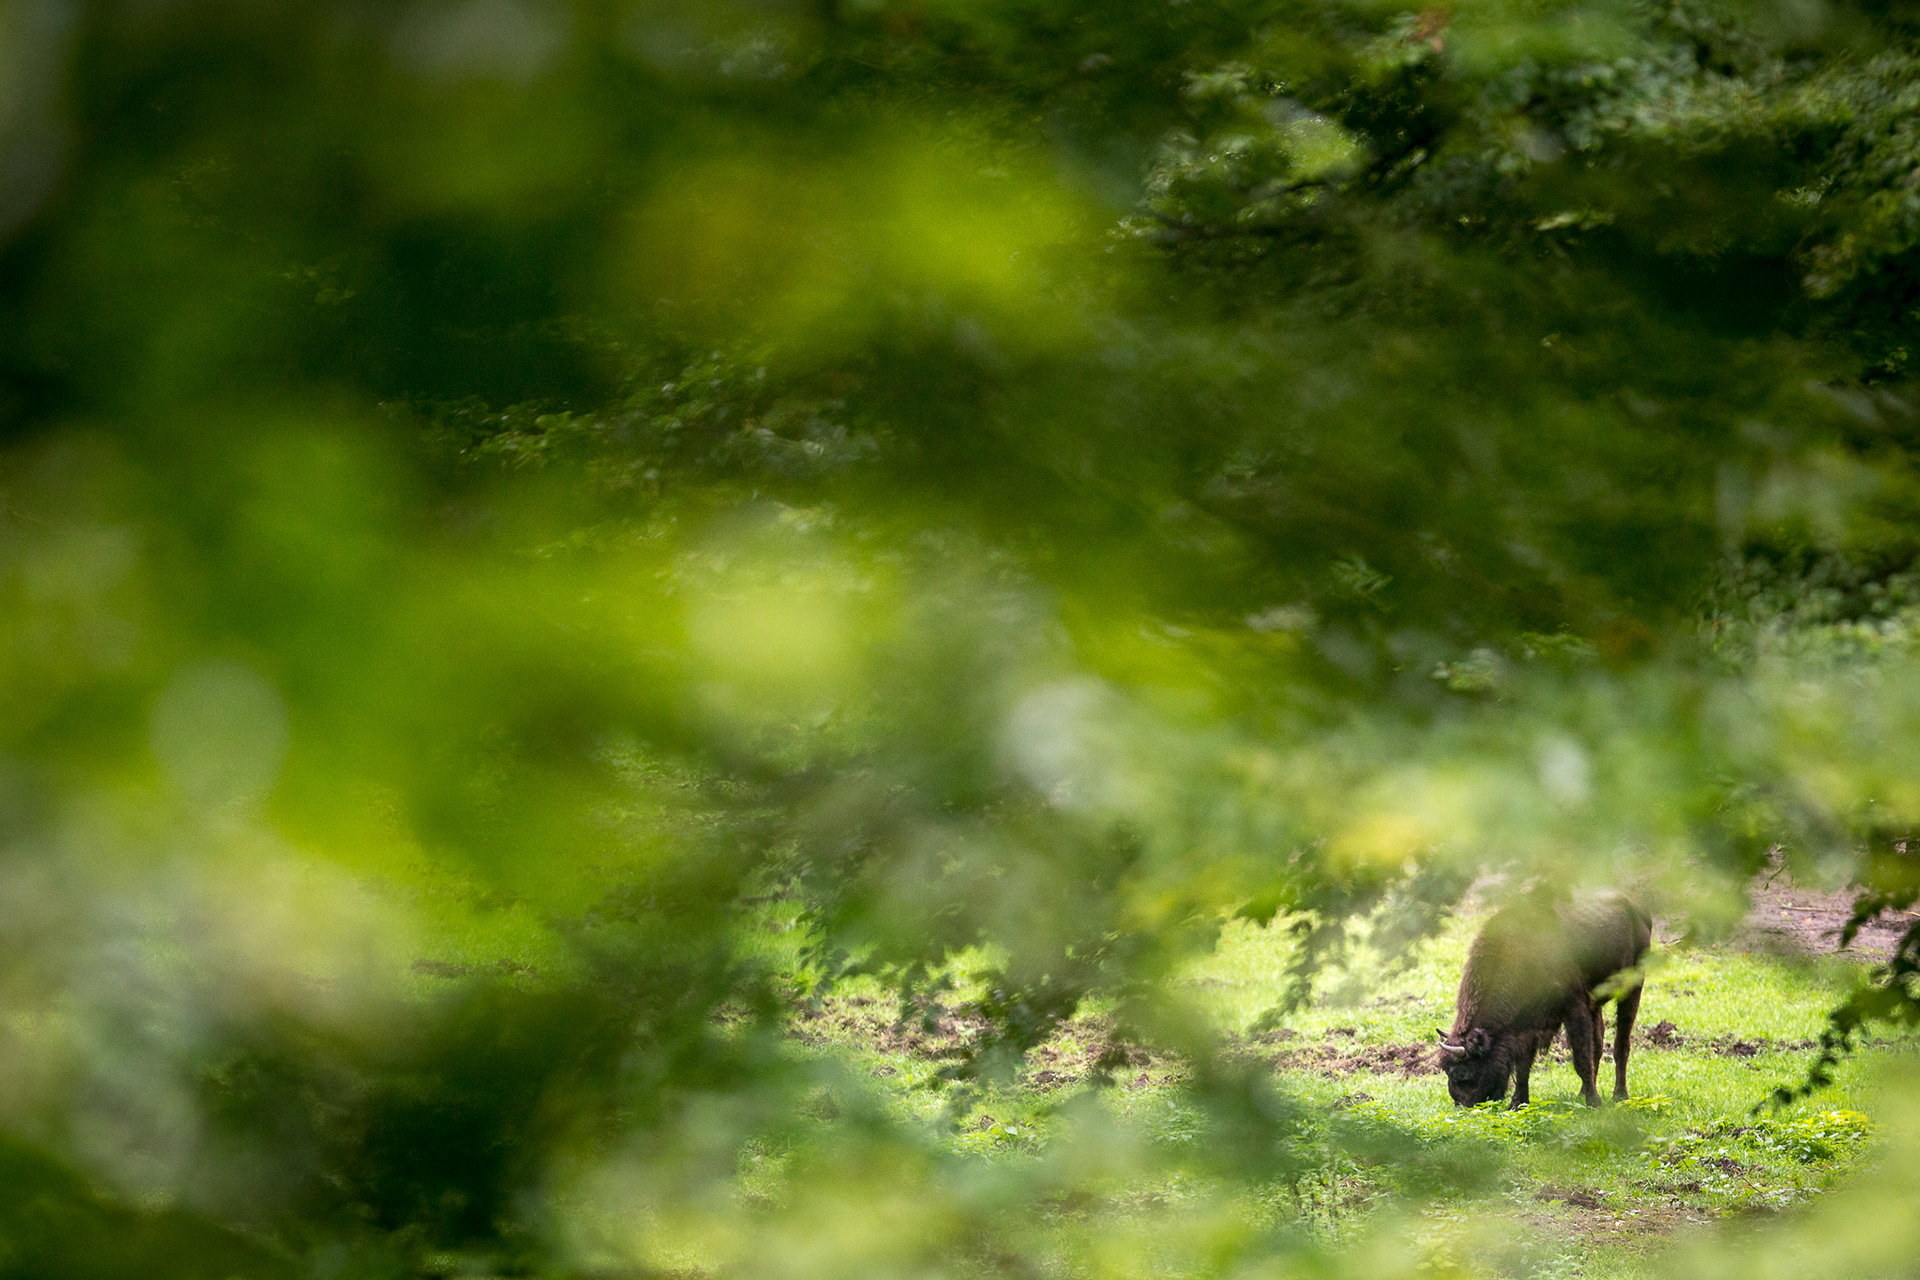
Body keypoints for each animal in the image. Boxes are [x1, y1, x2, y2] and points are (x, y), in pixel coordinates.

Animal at [1437, 889, 1652, 1108]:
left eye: (1462, 1072)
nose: (1462, 1105)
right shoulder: (1527, 1025)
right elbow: (1523, 1065)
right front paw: (1518, 1103)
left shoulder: (1574, 1008)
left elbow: (1581, 1058)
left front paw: (1594, 1103)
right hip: (1596, 1002)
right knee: (1598, 1043)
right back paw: (1583, 1092)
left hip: (1632, 987)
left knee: (1621, 1043)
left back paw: (1620, 1095)